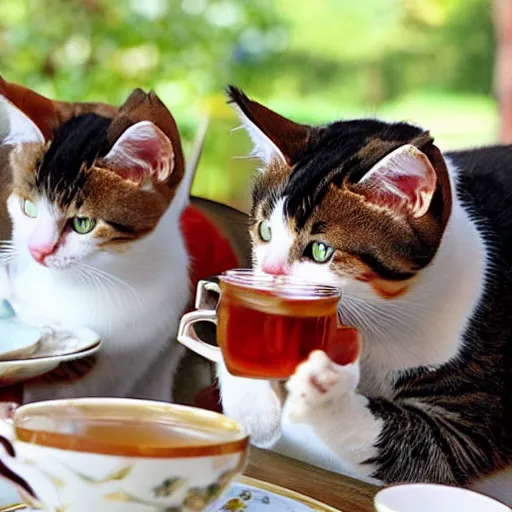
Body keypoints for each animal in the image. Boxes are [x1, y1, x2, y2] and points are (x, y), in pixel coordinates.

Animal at [220, 87, 512, 504]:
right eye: (264, 231)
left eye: (320, 251)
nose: (271, 272)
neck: (380, 315)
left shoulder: (472, 416)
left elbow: (421, 450)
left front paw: (323, 392)